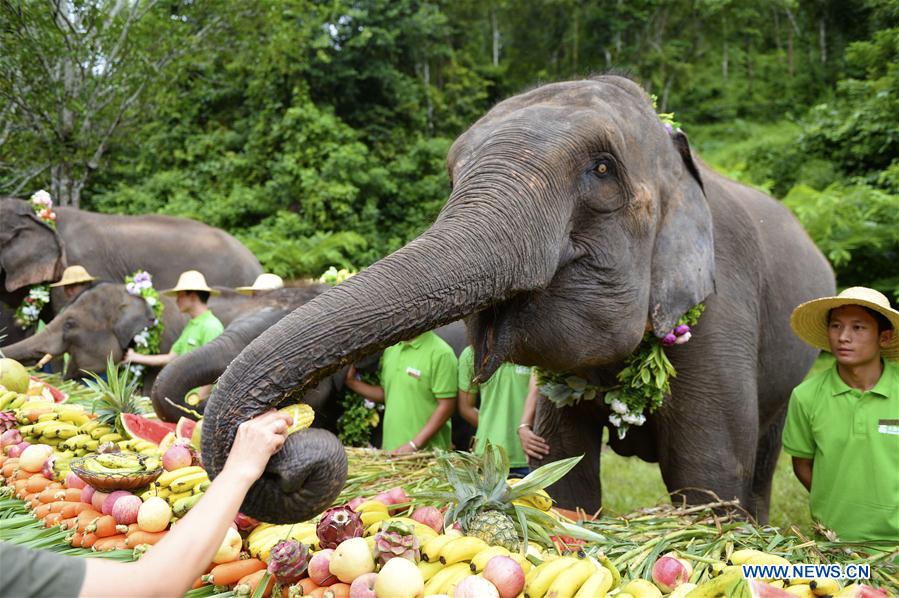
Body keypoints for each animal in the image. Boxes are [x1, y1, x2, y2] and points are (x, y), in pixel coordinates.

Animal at [200, 74, 832, 524]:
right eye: (453, 176)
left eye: (602, 168)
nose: (288, 441)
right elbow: (563, 470)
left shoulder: (722, 310)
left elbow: (708, 475)